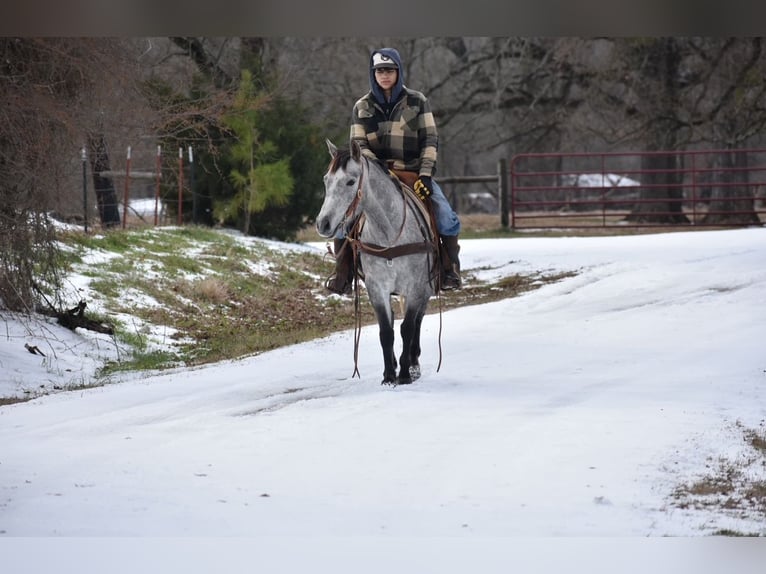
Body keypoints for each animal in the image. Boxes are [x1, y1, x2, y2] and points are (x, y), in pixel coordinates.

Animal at [316, 139, 437, 385]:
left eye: (350, 181)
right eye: (326, 180)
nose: (323, 224)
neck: (390, 234)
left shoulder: (416, 287)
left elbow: (408, 328)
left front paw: (405, 374)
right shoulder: (377, 287)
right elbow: (386, 331)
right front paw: (389, 375)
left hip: (425, 289)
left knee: (418, 322)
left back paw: (414, 363)